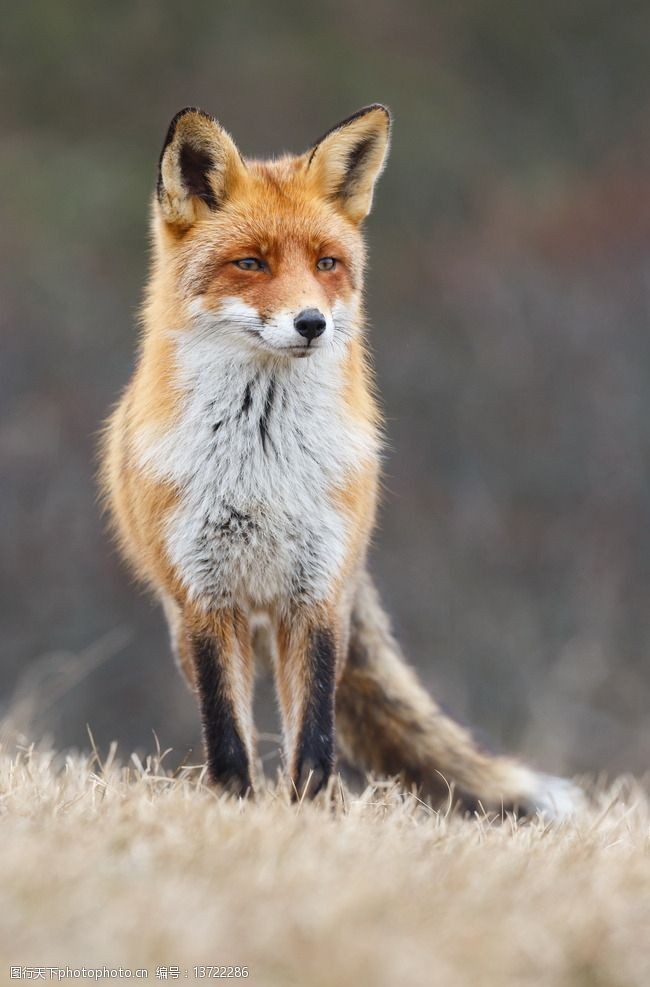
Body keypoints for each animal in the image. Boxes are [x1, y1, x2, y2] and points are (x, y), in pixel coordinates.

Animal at [100, 104, 576, 816]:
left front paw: (312, 813)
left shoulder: (317, 593)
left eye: (327, 262)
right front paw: (237, 807)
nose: (311, 323)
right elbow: (229, 735)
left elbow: (316, 735)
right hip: (189, 622)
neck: (263, 465)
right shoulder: (206, 598)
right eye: (250, 262)